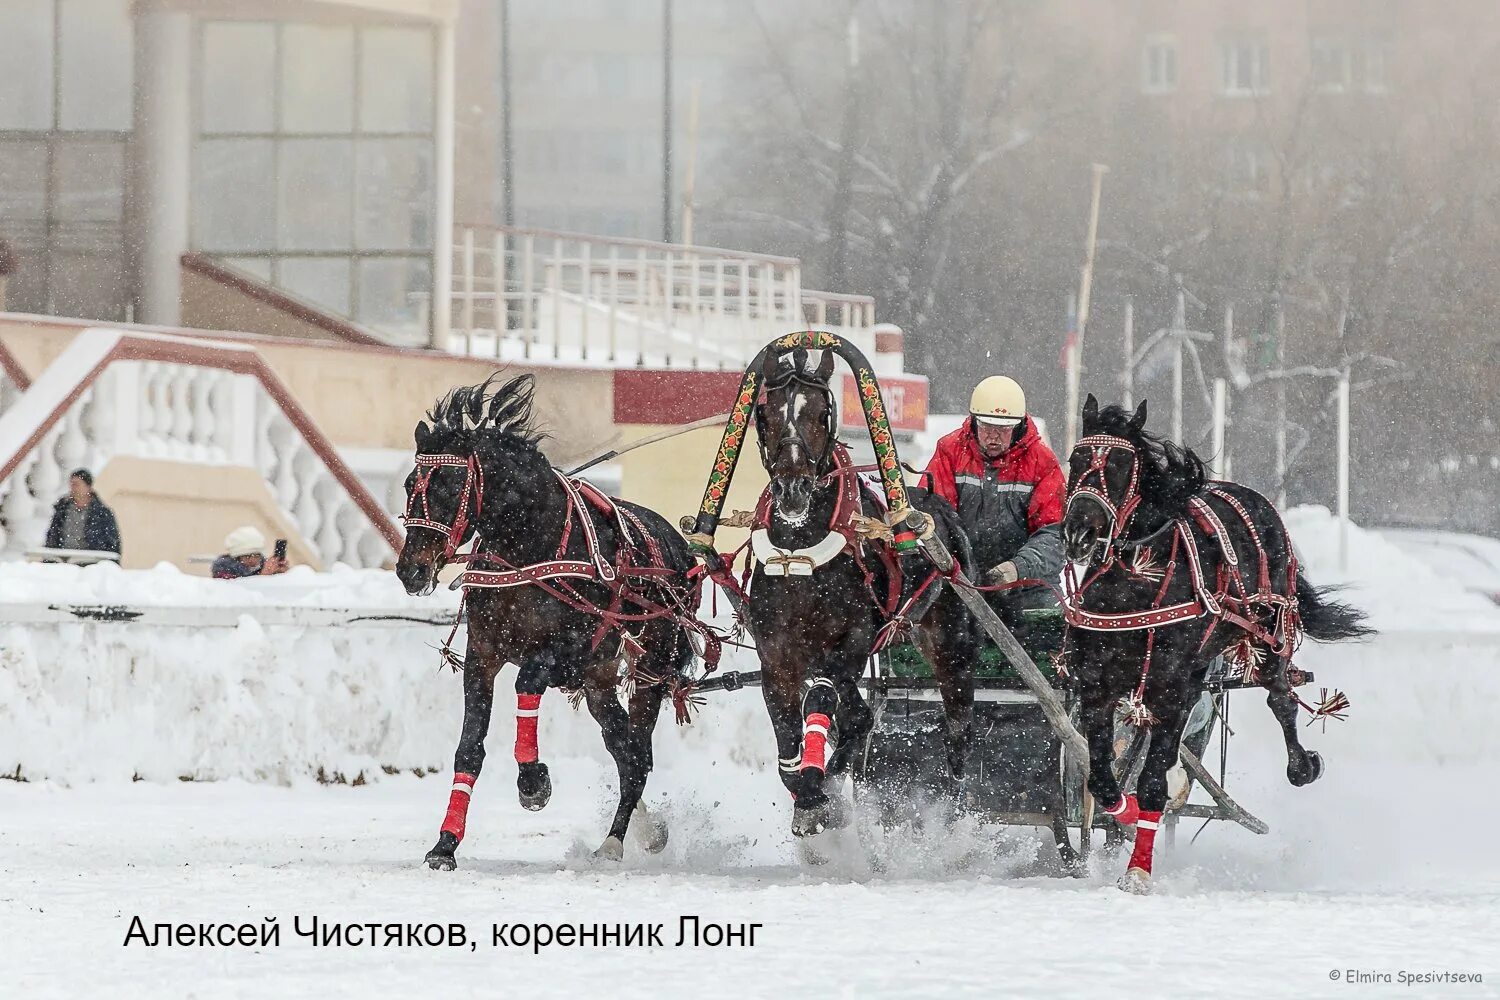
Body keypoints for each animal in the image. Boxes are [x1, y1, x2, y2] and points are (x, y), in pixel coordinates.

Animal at [1056, 395, 1374, 893]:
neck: (1135, 583)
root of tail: (1257, 499)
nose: (1079, 532)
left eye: (1124, 465)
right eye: (1077, 458)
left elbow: (1153, 779)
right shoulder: (1096, 685)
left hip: (1270, 633)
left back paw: (1301, 764)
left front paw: (1138, 871)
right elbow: (1104, 777)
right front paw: (1123, 812)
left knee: (1281, 698)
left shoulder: (1174, 688)